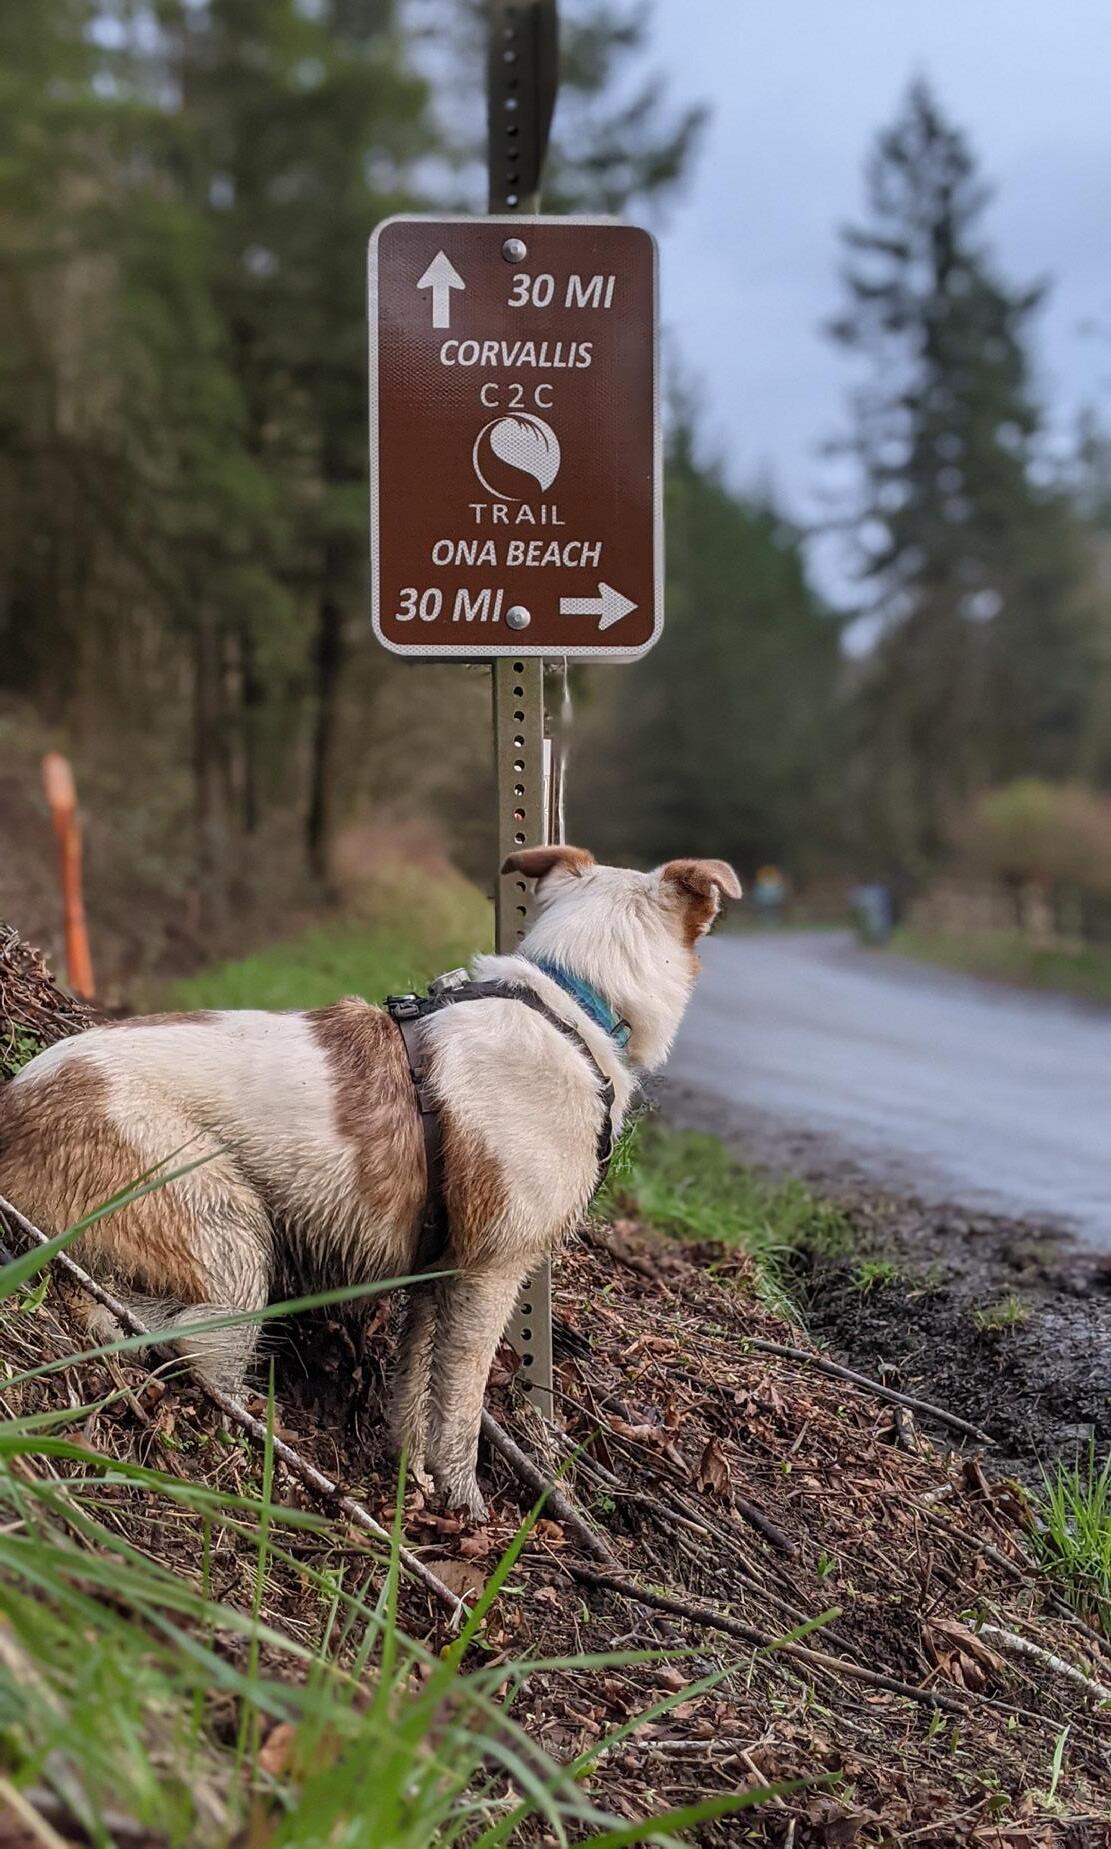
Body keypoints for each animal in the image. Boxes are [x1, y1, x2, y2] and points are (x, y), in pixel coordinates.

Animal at [0, 846, 739, 1515]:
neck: (567, 1008)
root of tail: (16, 1105)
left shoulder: (436, 1274)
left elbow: (413, 1387)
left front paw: (411, 1475)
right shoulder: (490, 1275)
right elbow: (460, 1403)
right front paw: (462, 1500)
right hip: (226, 1230)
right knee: (188, 1339)